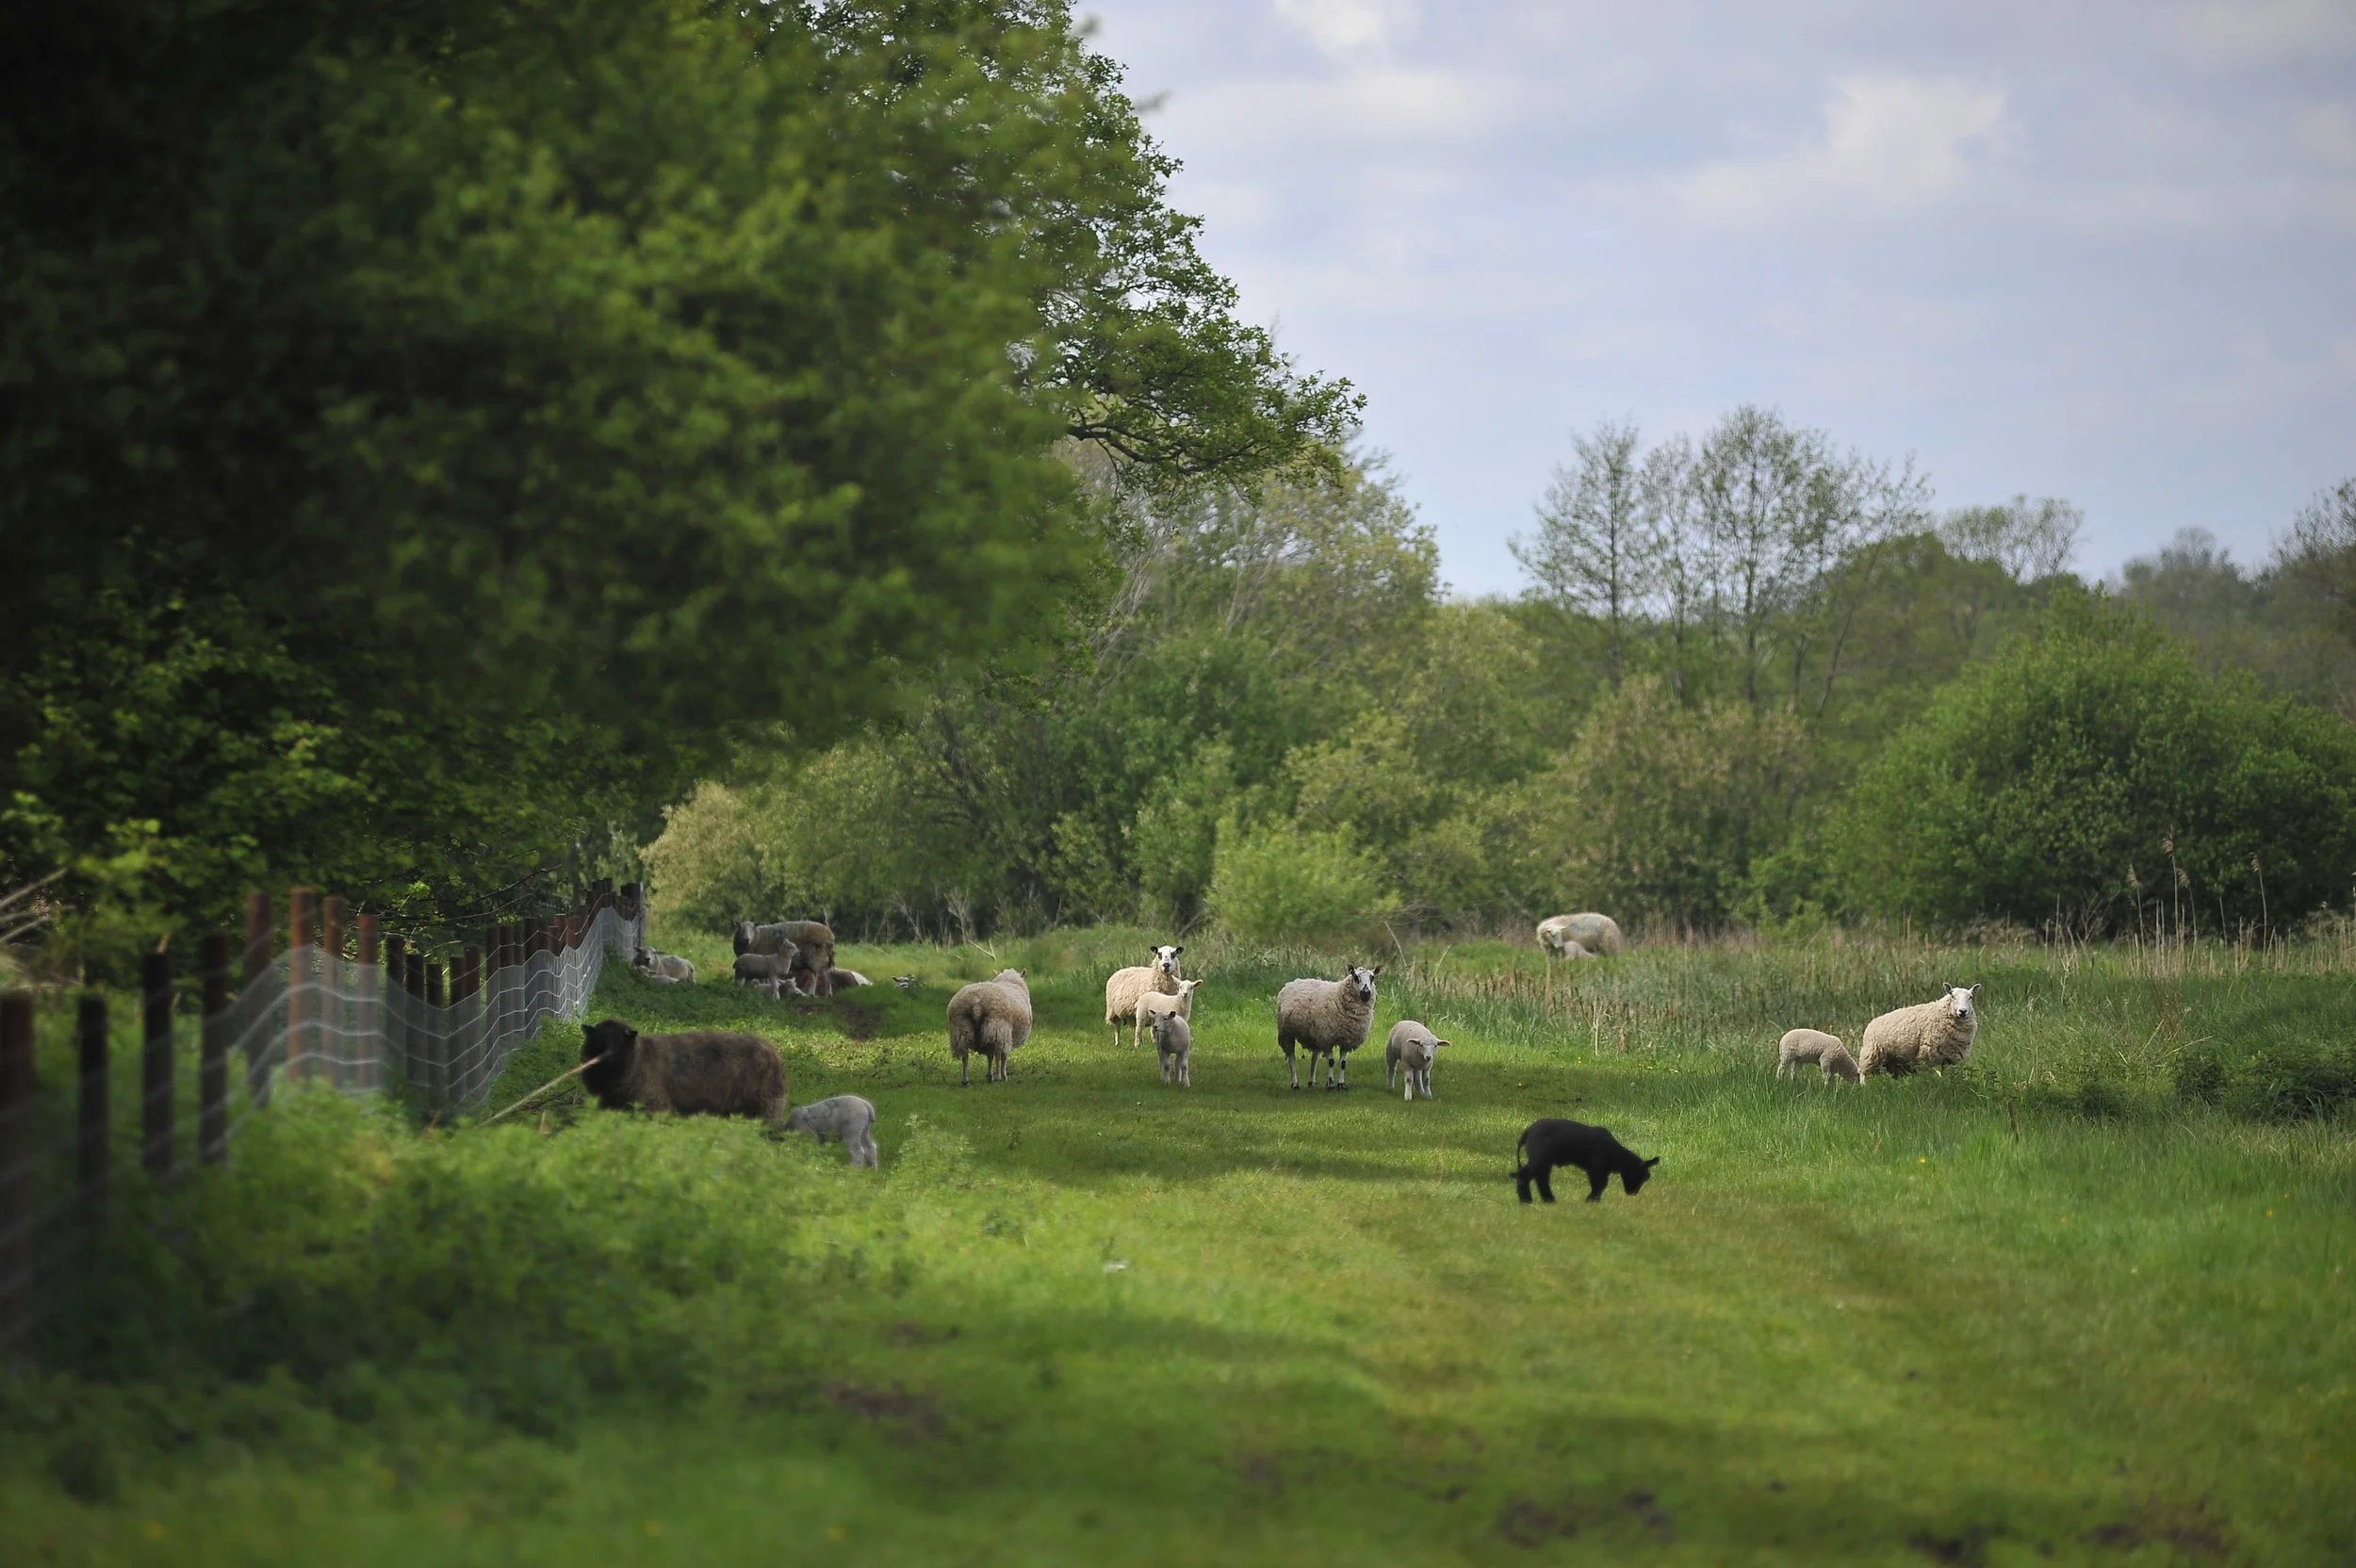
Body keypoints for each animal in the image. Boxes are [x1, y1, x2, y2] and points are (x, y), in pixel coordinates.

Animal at [578, 1019, 785, 1123]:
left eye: (620, 1042)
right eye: (597, 1041)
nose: (605, 1056)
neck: (638, 1058)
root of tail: (774, 1053)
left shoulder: (653, 1107)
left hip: (765, 1108)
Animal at [1275, 964, 1381, 1090]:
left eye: (1372, 977)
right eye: (1355, 977)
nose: (1366, 993)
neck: (1339, 997)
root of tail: (1292, 982)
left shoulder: (1346, 1040)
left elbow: (1343, 1064)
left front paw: (1341, 1084)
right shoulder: (1327, 1038)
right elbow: (1331, 1061)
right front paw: (1330, 1084)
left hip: (1315, 1035)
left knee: (1314, 1058)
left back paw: (1311, 1082)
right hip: (1287, 1033)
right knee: (1292, 1058)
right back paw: (1295, 1083)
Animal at [1858, 984, 1981, 1078]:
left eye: (1970, 997)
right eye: (1952, 996)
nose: (1963, 1011)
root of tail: (1872, 1022)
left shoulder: (1946, 1057)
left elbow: (1944, 1073)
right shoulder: (1930, 1054)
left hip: (1894, 1060)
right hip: (1871, 1054)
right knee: (1864, 1075)